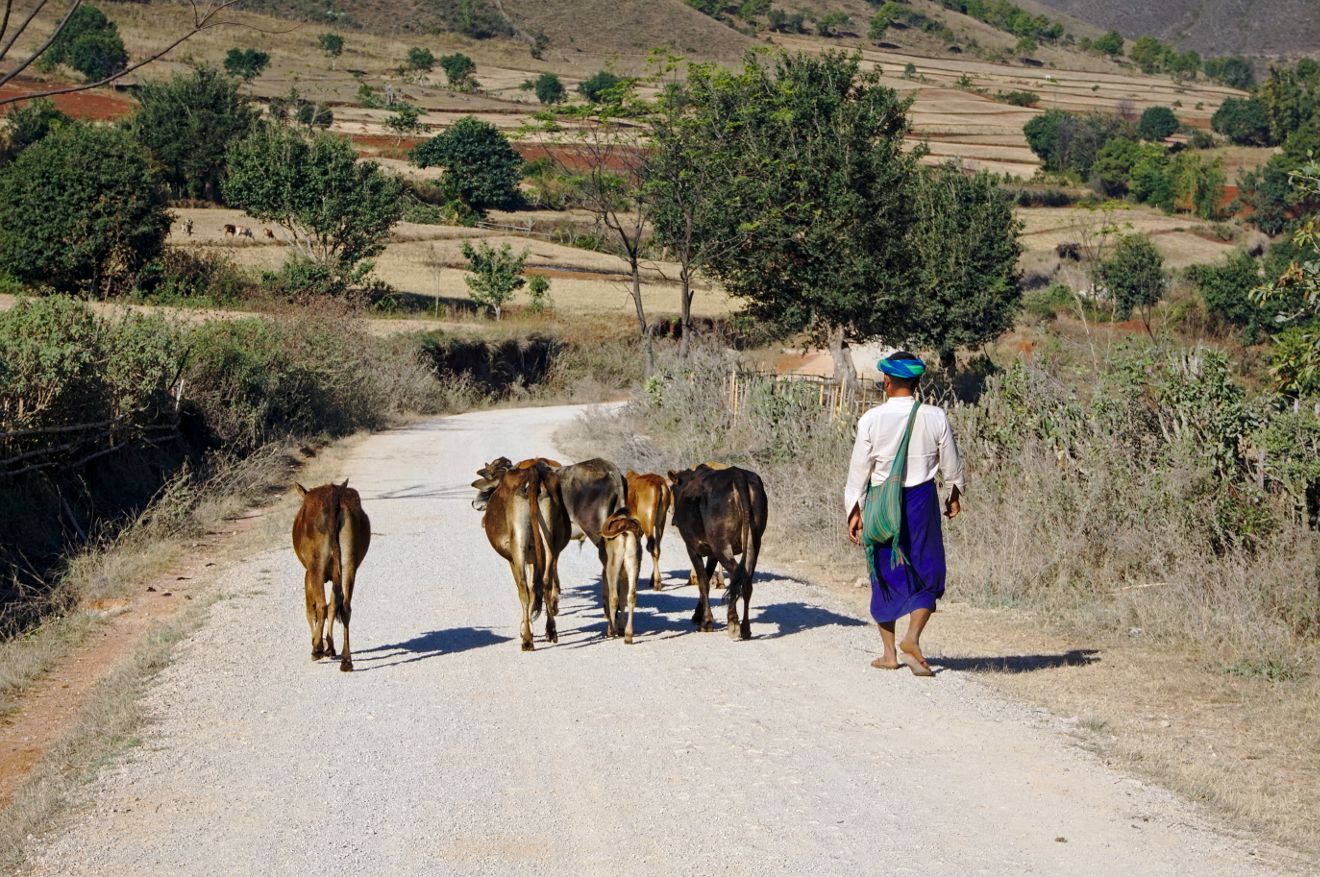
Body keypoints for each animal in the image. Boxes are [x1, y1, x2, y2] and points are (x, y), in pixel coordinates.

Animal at [290, 480, 369, 670]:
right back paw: (346, 661)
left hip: (316, 566)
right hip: (349, 564)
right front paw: (331, 647)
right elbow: (334, 606)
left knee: (321, 606)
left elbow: (311, 609)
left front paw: (318, 644)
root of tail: (334, 499)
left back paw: (317, 650)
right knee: (345, 607)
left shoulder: (308, 575)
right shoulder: (335, 576)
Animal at [472, 454, 570, 647]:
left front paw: (525, 626)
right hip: (549, 542)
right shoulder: (534, 557)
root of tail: (532, 473)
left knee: (523, 587)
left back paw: (527, 640)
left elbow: (527, 588)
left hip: (518, 544)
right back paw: (550, 630)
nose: (474, 503)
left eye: (489, 490)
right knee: (546, 581)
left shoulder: (515, 558)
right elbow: (535, 587)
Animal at [601, 509, 641, 641]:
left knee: (613, 597)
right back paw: (628, 635)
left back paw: (611, 632)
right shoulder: (624, 577)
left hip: (612, 568)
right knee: (631, 596)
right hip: (634, 565)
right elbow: (623, 600)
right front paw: (622, 629)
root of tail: (625, 533)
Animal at [665, 462, 770, 641]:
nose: (673, 520)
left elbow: (703, 582)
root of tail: (738, 475)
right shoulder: (712, 553)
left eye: (672, 489)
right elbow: (707, 577)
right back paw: (745, 628)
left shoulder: (692, 547)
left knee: (736, 575)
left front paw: (706, 622)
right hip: (753, 542)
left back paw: (733, 623)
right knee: (746, 579)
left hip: (721, 544)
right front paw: (698, 614)